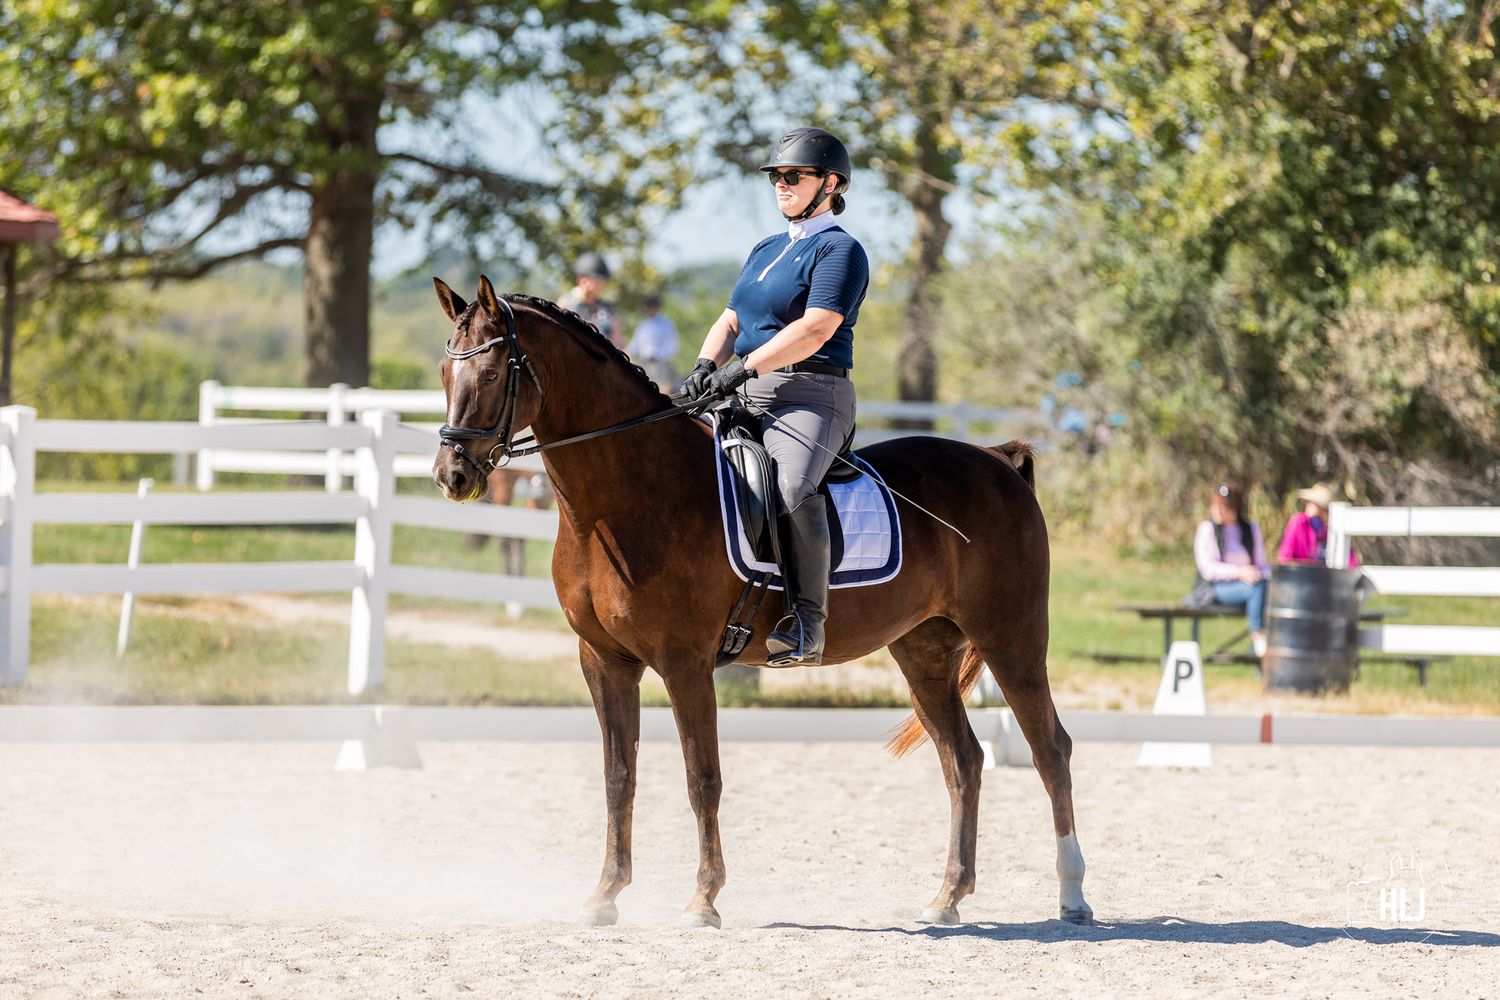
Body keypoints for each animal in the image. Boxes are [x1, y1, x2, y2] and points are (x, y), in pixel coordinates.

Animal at [430, 276, 1092, 929]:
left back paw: (1072, 896)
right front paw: (605, 895)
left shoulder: (685, 664)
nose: (451, 476)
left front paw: (703, 900)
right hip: (924, 652)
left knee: (1049, 750)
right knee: (963, 761)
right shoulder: (603, 660)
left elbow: (702, 777)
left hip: (1012, 639)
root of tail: (997, 460)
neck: (627, 496)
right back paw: (948, 897)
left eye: (491, 373)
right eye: (443, 371)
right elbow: (619, 775)